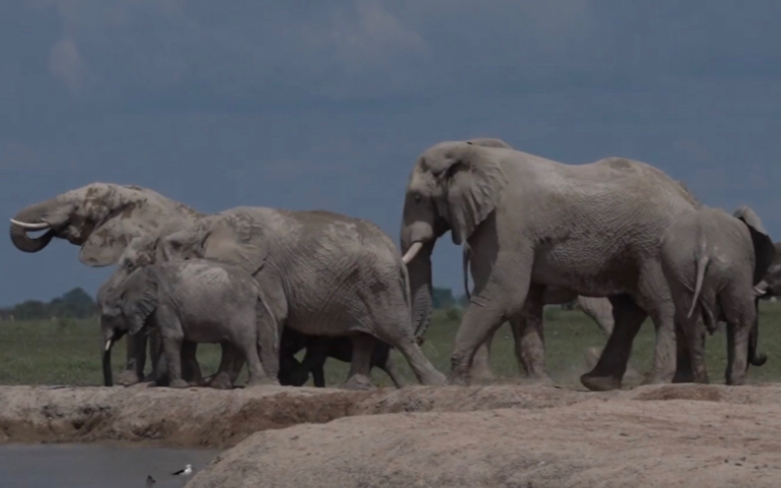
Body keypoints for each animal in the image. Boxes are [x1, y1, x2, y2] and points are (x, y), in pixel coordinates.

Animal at [99, 260, 278, 388]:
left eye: (107, 317)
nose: (110, 385)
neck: (126, 284)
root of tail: (256, 286)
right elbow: (183, 341)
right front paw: (191, 384)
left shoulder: (164, 304)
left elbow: (174, 336)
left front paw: (179, 386)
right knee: (234, 344)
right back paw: (219, 385)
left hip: (240, 308)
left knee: (244, 340)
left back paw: (258, 385)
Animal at [396, 139, 700, 390]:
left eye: (417, 197)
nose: (419, 339)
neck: (474, 153)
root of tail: (688, 199)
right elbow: (524, 304)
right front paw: (540, 383)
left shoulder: (505, 225)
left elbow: (504, 294)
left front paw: (455, 383)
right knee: (630, 310)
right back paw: (607, 382)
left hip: (653, 248)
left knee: (661, 306)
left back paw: (657, 382)